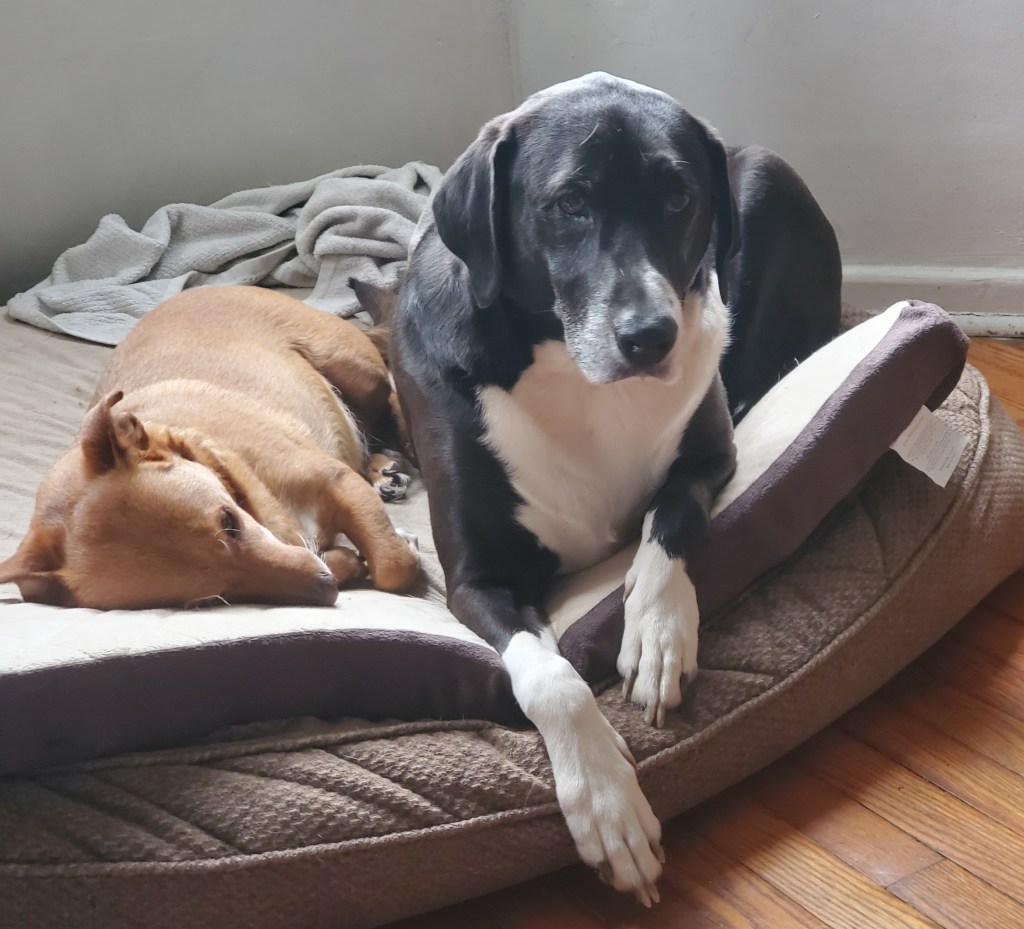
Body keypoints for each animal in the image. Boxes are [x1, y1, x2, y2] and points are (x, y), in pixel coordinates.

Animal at [0, 286, 420, 609]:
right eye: (211, 599)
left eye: (228, 522)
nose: (326, 586)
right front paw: (346, 559)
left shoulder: (336, 480)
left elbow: (393, 566)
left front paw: (399, 547)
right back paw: (383, 469)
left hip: (356, 369)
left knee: (393, 401)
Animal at [391, 72, 841, 903]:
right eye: (569, 202)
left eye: (679, 195)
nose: (650, 336)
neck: (567, 364)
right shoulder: (477, 579)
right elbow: (552, 677)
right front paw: (607, 806)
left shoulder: (708, 457)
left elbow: (670, 521)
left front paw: (657, 636)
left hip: (771, 177)